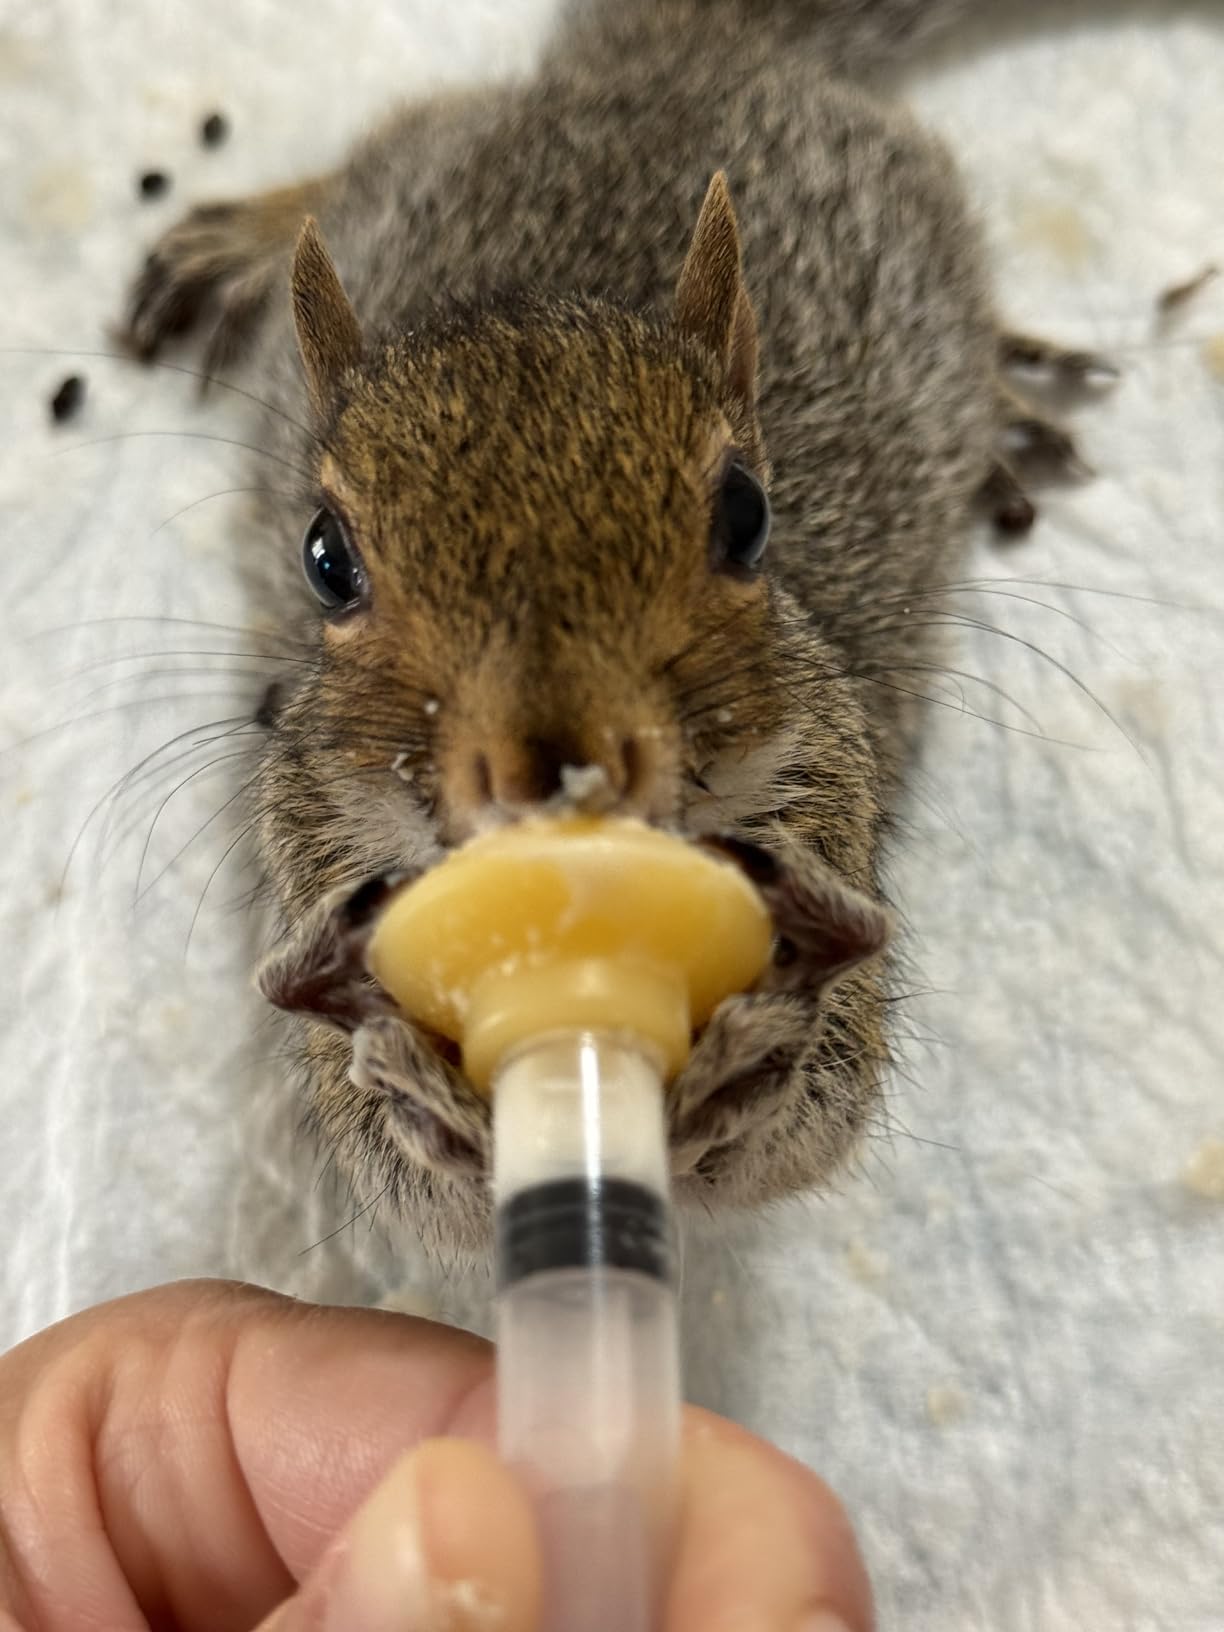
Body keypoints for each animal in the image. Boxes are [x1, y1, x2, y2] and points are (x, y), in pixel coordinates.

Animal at [123, 0, 1108, 1258]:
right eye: (325, 560)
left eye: (748, 516)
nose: (553, 770)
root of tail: (667, 60)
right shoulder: (314, 849)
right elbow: (396, 1167)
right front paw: (427, 1108)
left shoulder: (826, 801)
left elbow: (820, 1105)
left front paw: (751, 1067)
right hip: (411, 178)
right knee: (377, 149)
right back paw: (247, 234)